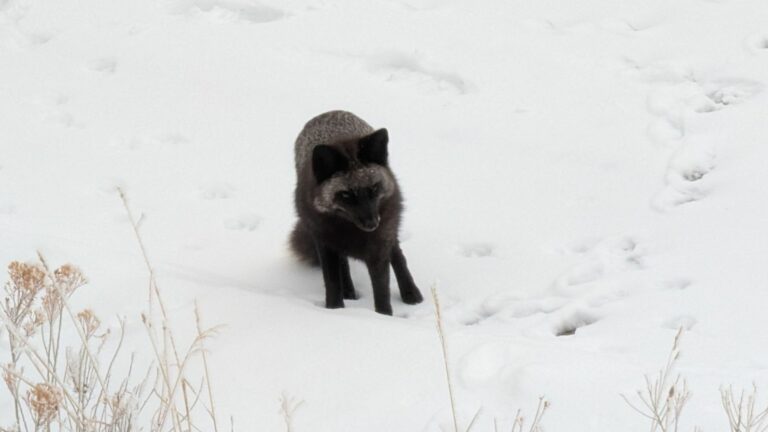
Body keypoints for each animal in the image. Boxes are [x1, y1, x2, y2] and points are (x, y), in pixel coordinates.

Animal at [289, 110, 424, 315]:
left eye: (374, 188)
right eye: (346, 195)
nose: (372, 223)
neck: (351, 232)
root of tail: (330, 112)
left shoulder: (379, 248)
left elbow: (382, 291)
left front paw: (383, 317)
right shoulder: (324, 244)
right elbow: (332, 283)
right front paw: (335, 310)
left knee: (397, 254)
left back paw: (411, 293)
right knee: (343, 264)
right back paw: (349, 292)